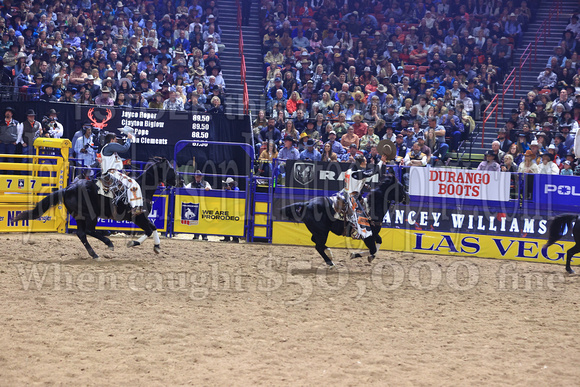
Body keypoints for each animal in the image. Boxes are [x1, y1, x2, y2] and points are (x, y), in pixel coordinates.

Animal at [15, 156, 179, 260]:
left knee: (82, 233)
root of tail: (68, 189)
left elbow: (153, 227)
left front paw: (156, 247)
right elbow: (149, 229)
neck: (142, 189)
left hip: (79, 216)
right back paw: (108, 243)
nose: (180, 181)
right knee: (88, 231)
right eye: (171, 169)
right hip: (90, 215)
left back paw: (94, 254)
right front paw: (133, 243)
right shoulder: (138, 217)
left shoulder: (142, 217)